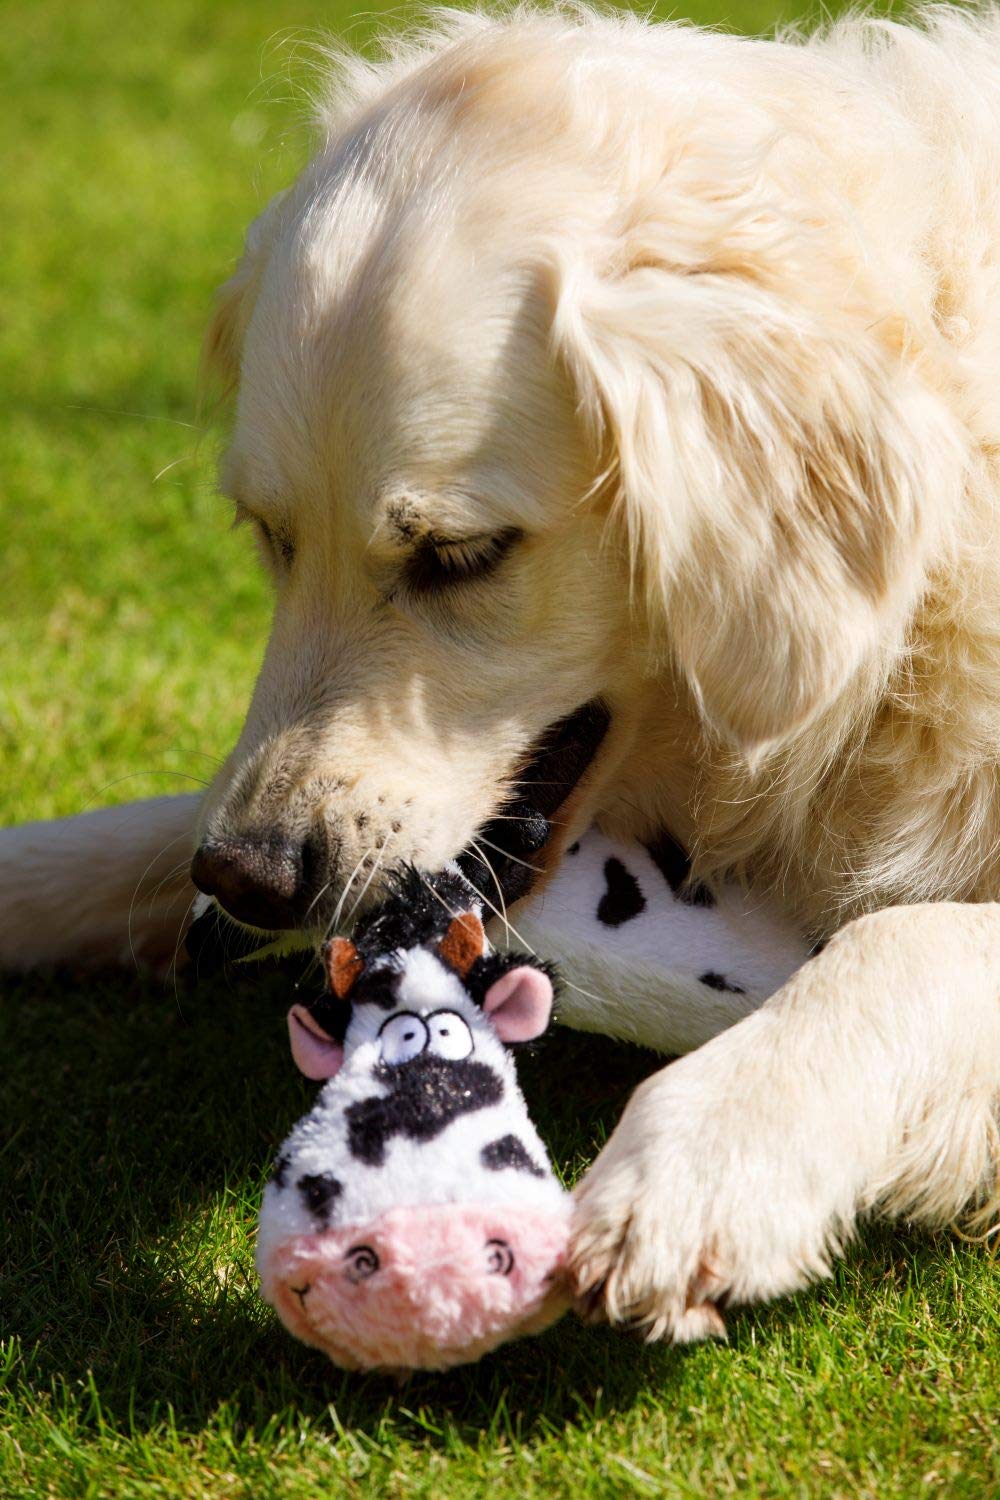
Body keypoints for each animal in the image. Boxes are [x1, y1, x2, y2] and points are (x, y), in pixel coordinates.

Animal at [5, 0, 1000, 1338]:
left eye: (458, 556)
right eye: (271, 536)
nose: (251, 878)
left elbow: (905, 943)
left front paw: (702, 1159)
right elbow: (137, 836)